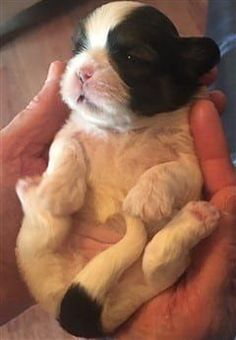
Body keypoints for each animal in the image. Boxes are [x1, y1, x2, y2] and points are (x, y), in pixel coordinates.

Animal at [15, 1, 220, 338]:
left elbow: (168, 170)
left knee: (154, 262)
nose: (81, 71)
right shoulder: (70, 131)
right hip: (35, 249)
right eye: (78, 49)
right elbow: (66, 149)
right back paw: (33, 192)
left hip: (151, 281)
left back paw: (196, 217)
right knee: (51, 224)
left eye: (130, 58)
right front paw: (56, 190)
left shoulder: (189, 164)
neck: (123, 129)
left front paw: (144, 198)